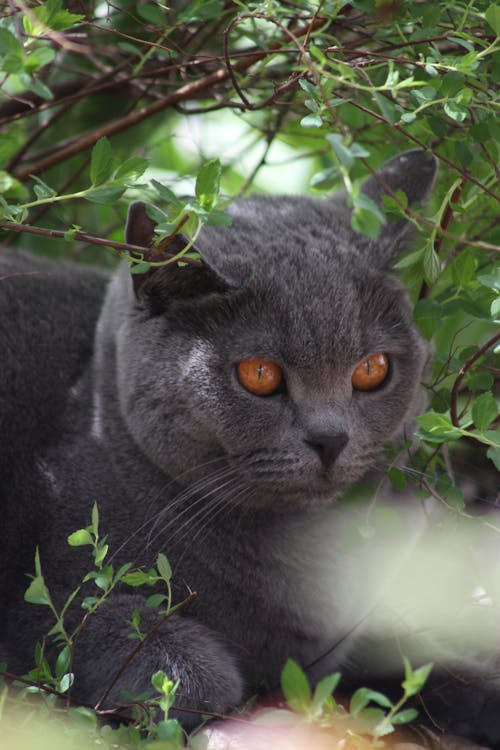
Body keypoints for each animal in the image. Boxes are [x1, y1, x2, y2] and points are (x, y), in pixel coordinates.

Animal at [0, 151, 498, 748]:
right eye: (259, 374)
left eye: (372, 369)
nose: (330, 438)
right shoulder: (54, 599)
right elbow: (192, 678)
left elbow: (416, 657)